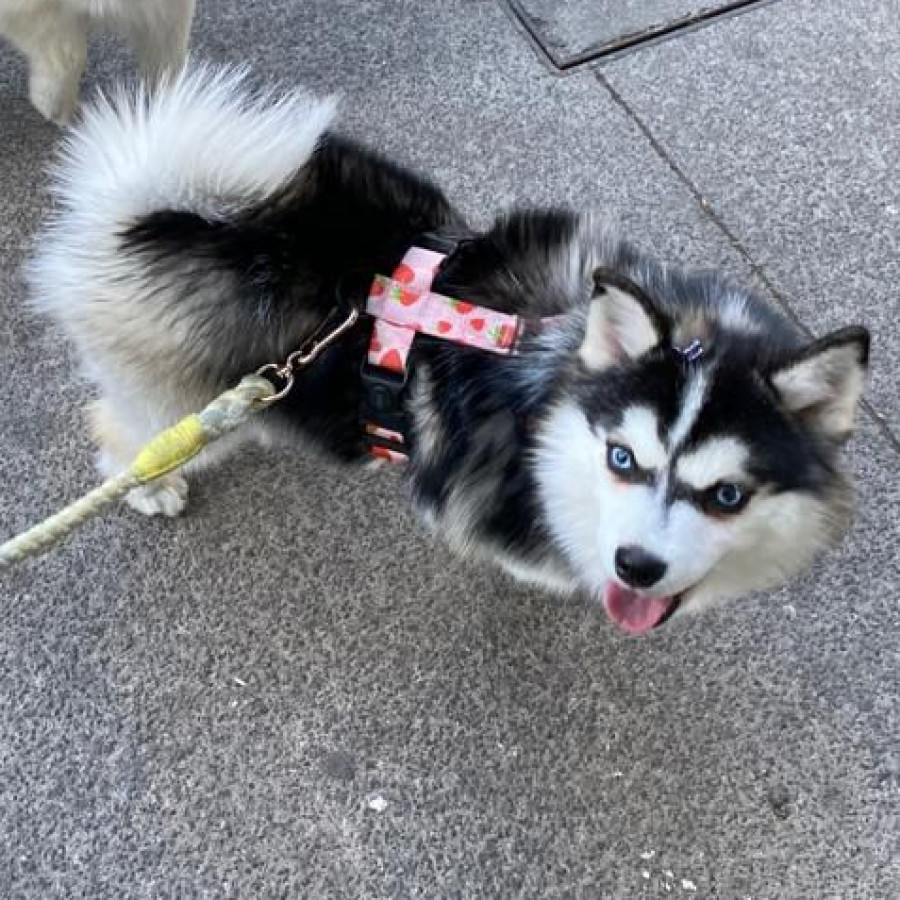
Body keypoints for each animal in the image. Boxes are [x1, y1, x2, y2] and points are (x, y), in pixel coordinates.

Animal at [29, 65, 872, 632]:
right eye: (622, 458)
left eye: (727, 495)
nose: (636, 566)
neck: (549, 375)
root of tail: (142, 204)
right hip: (183, 399)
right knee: (123, 432)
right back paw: (150, 486)